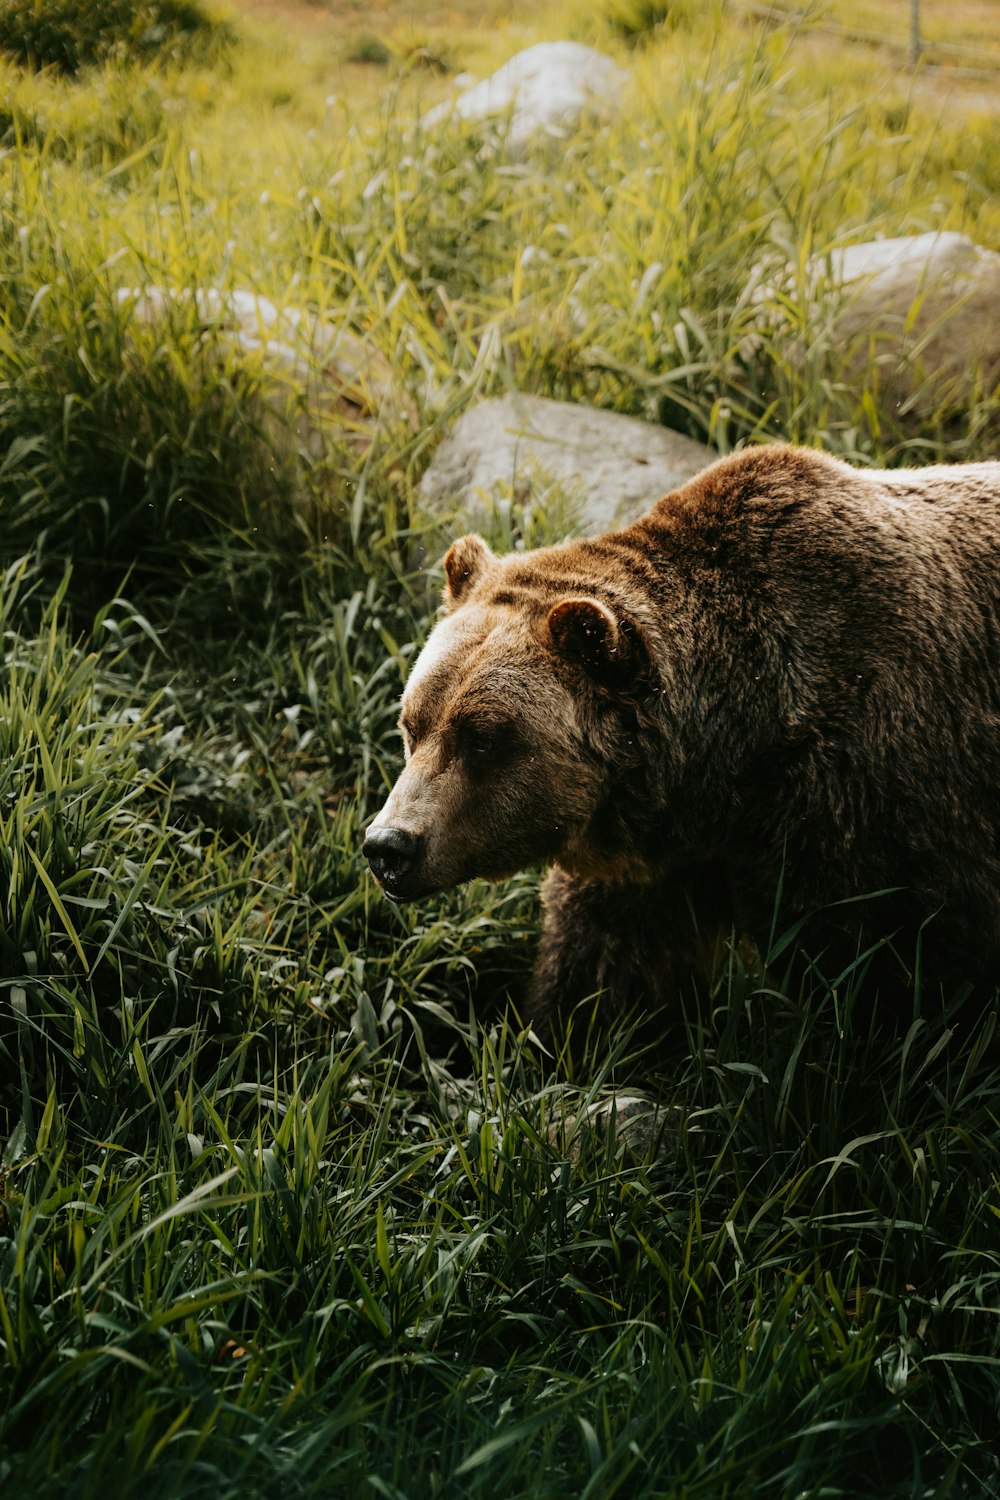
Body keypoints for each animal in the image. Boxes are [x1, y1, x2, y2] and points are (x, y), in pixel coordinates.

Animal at [364, 444, 1000, 1032]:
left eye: (484, 740)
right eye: (412, 724)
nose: (388, 846)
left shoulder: (870, 810)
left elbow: (882, 988)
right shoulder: (652, 863)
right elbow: (605, 966)